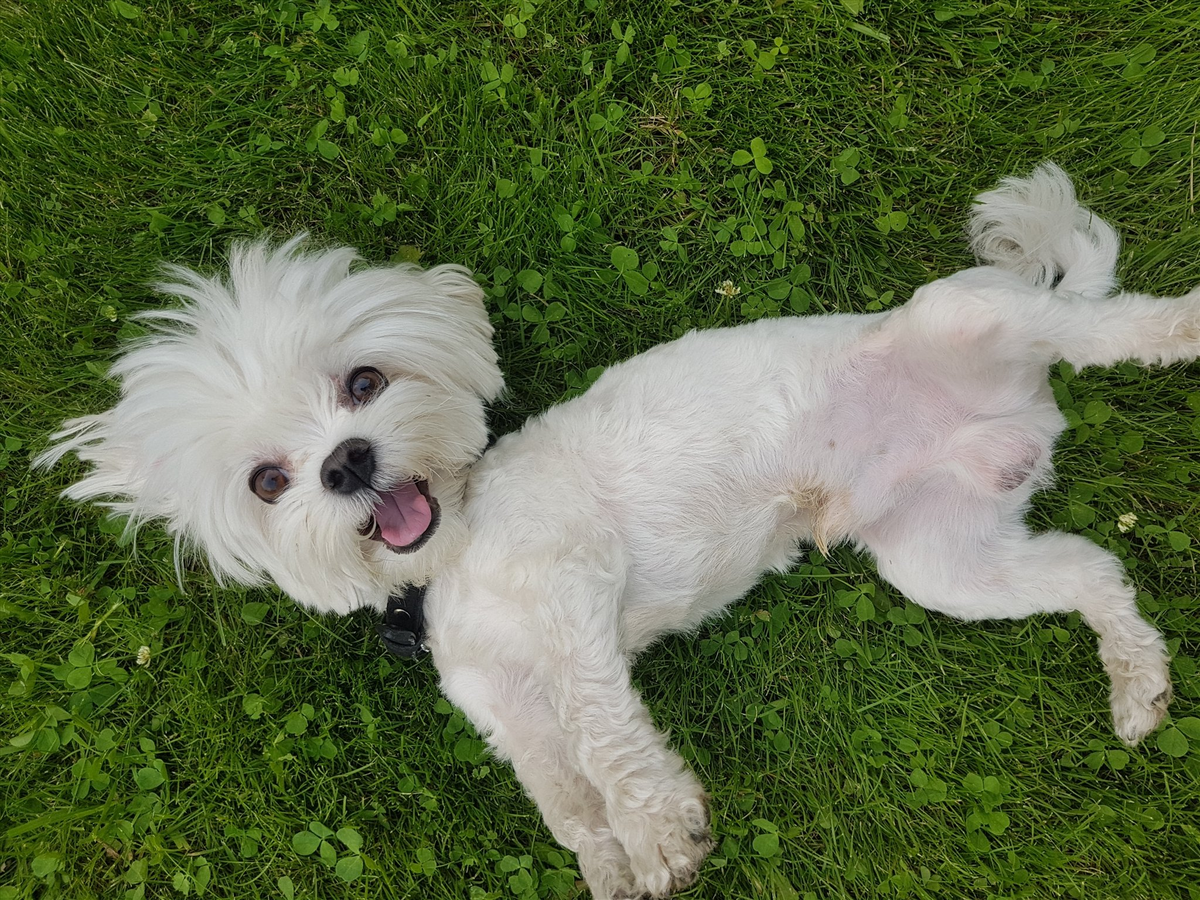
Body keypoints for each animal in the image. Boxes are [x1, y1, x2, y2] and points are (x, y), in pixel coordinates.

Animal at [39, 165, 1190, 897]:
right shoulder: (505, 705)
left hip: (972, 321)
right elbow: (558, 791)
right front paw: (607, 862)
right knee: (1090, 567)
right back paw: (1137, 683)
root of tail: (1021, 401)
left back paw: (1180, 326)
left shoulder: (574, 597)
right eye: (267, 481)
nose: (347, 462)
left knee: (1107, 318)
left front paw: (658, 829)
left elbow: (599, 731)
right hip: (941, 560)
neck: (457, 558)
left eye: (363, 382)